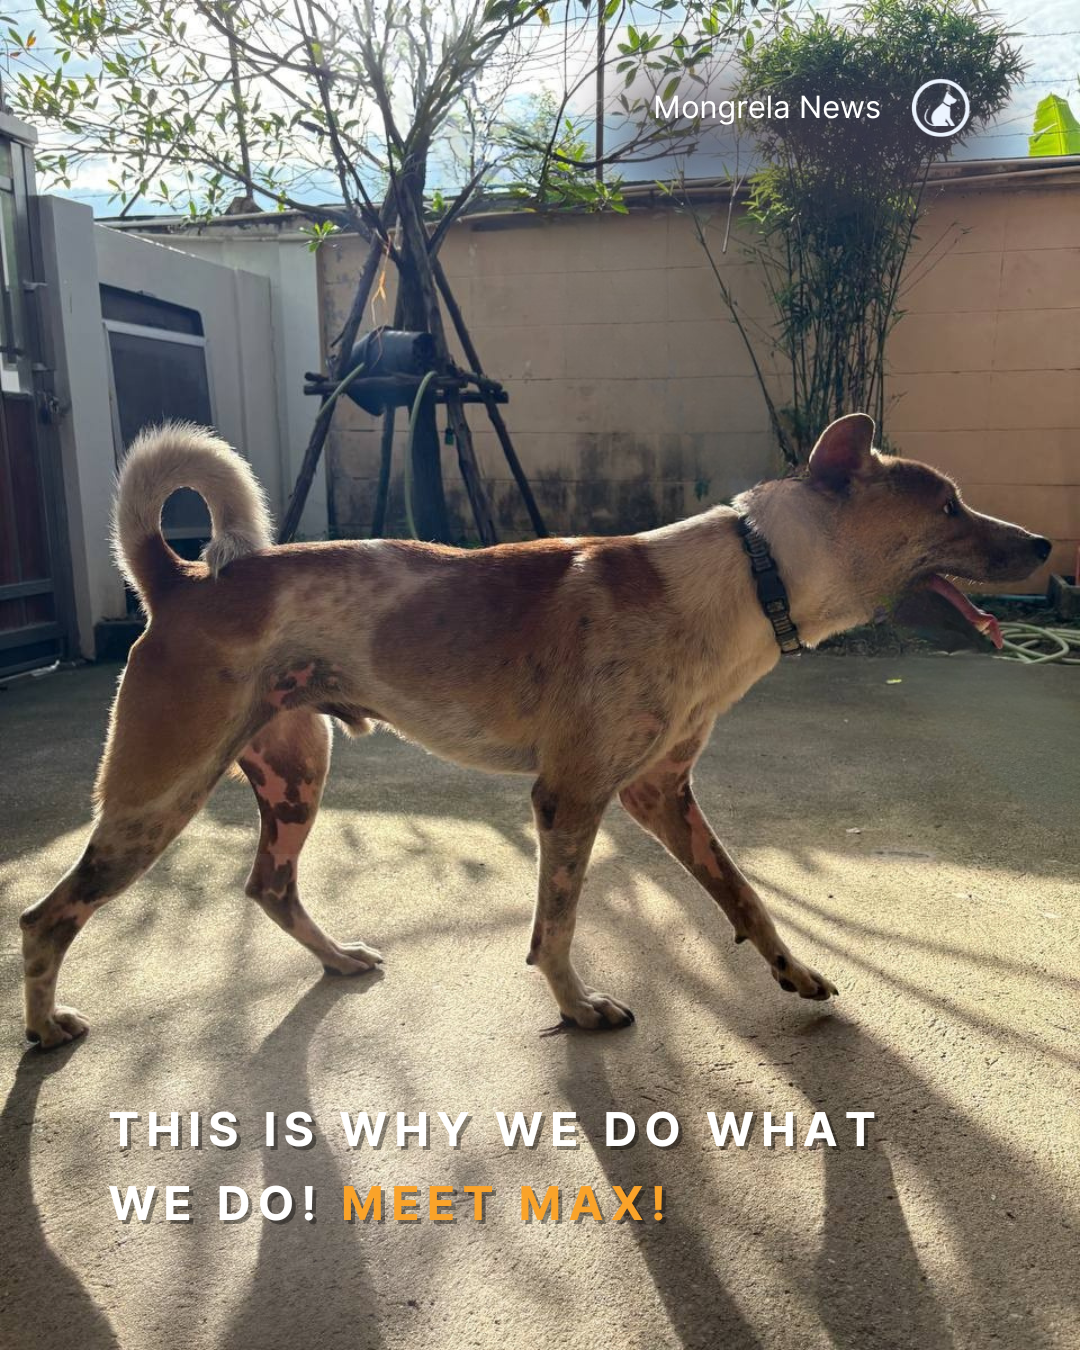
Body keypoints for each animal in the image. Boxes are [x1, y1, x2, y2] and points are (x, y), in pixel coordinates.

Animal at [20, 413, 1051, 1048]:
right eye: (948, 505)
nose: (1045, 543)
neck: (750, 573)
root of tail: (180, 581)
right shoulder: (573, 796)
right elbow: (555, 926)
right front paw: (580, 1009)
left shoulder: (660, 794)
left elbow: (745, 898)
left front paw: (794, 973)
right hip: (159, 797)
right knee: (46, 917)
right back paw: (43, 1029)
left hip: (294, 777)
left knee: (268, 887)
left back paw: (340, 957)